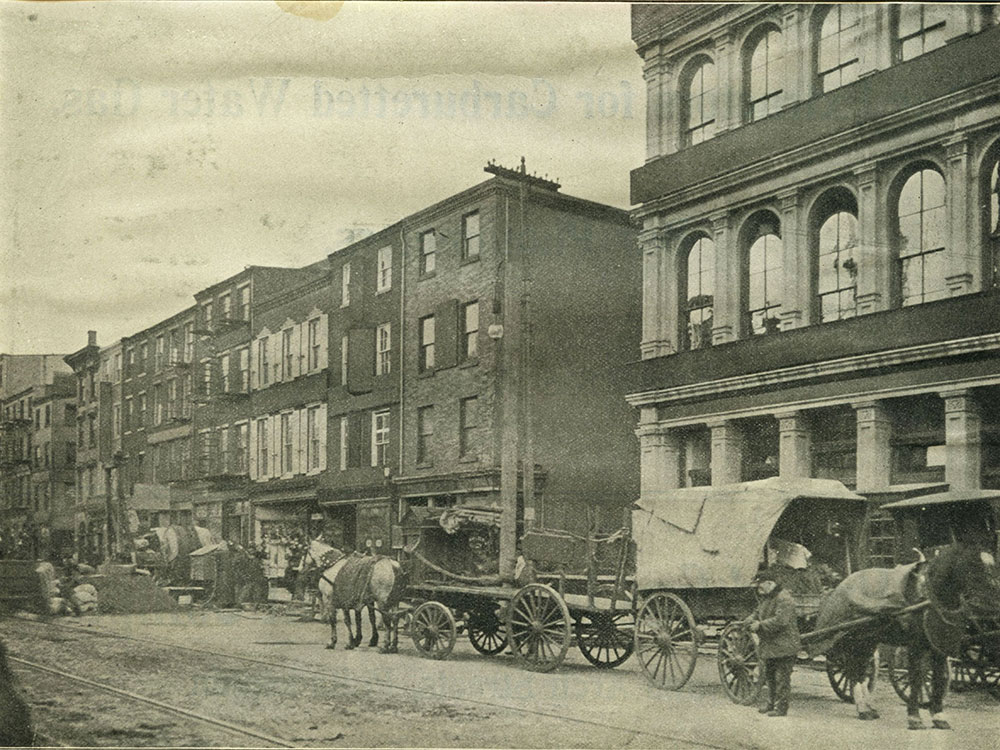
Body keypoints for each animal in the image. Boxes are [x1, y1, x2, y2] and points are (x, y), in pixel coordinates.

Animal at [816, 544, 996, 732]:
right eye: (974, 565)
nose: (993, 605)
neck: (928, 597)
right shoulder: (915, 645)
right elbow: (916, 677)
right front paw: (914, 718)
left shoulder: (938, 646)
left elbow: (940, 677)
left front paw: (939, 716)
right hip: (854, 639)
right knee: (852, 670)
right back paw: (863, 709)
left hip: (868, 640)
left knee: (860, 671)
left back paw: (868, 708)